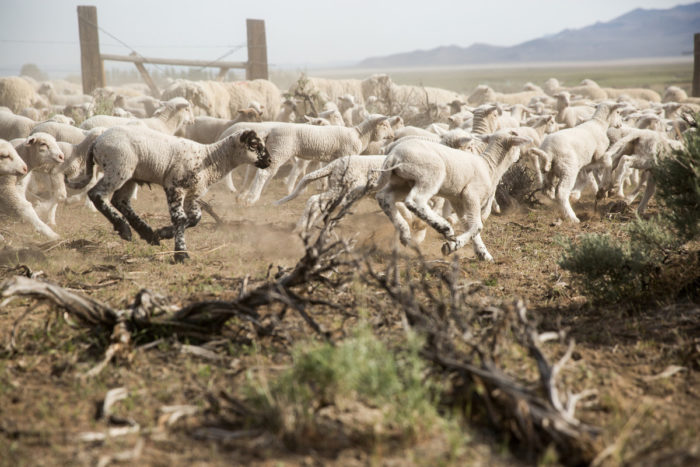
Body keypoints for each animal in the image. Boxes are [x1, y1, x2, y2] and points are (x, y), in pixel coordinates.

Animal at [66, 126, 270, 262]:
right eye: (254, 144)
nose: (269, 161)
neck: (210, 158)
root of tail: (96, 141)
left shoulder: (193, 193)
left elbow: (195, 218)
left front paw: (163, 232)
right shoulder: (175, 186)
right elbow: (181, 218)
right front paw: (181, 254)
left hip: (131, 175)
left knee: (121, 201)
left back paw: (147, 233)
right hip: (118, 168)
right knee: (97, 194)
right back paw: (124, 228)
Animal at [239, 114, 394, 205]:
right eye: (385, 125)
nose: (392, 136)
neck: (360, 135)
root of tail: (271, 130)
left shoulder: (332, 158)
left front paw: (324, 186)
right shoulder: (346, 153)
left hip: (273, 150)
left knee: (254, 171)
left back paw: (244, 195)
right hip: (280, 149)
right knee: (263, 173)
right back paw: (252, 198)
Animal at [372, 130, 532, 262]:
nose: (519, 158)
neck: (490, 167)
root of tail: (393, 156)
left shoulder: (458, 200)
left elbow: (469, 225)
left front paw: (482, 253)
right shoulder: (471, 194)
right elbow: (477, 226)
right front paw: (450, 246)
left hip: (402, 181)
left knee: (384, 197)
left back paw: (405, 233)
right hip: (430, 173)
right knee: (415, 201)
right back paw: (444, 228)